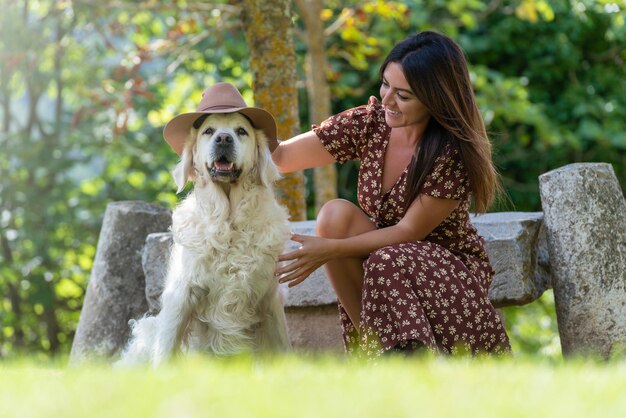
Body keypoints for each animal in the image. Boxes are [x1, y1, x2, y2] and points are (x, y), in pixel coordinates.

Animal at [117, 109, 290, 368]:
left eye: (241, 131)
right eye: (209, 131)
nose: (224, 139)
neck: (228, 222)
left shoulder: (269, 296)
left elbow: (281, 344)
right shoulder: (183, 292)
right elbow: (167, 345)